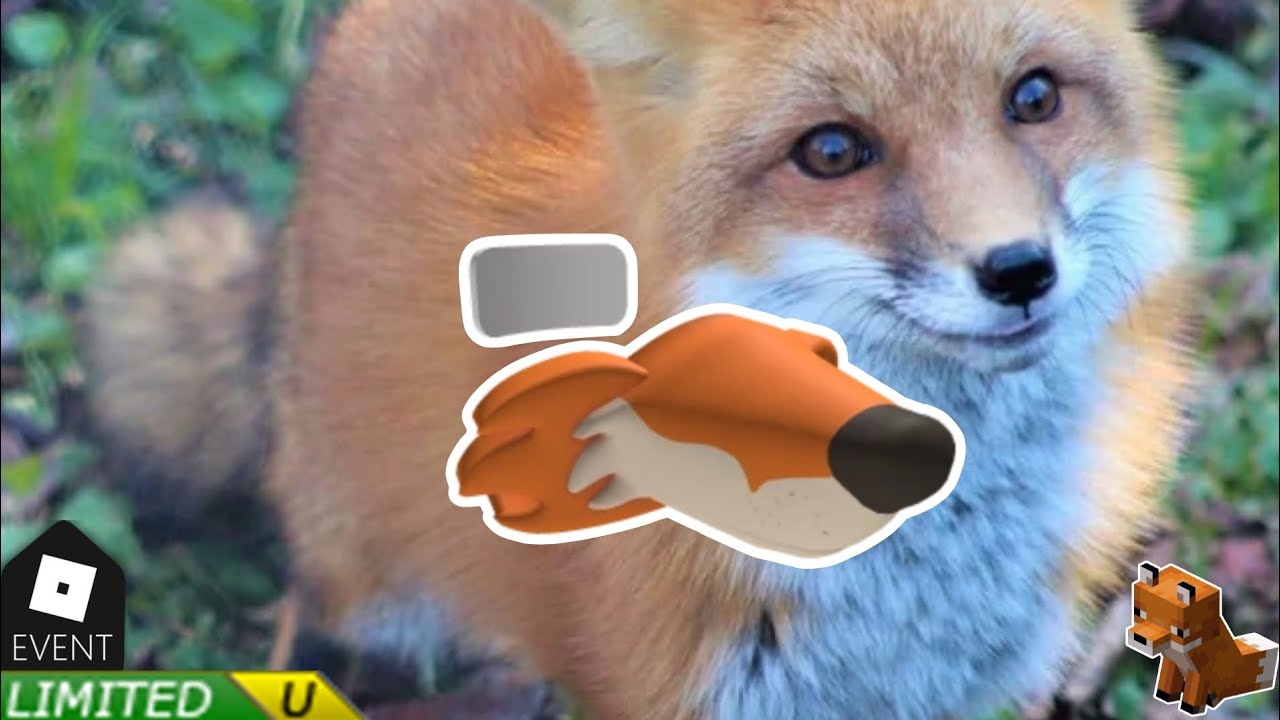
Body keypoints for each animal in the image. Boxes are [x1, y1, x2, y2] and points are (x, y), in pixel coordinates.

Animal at [1127, 562, 1279, 715]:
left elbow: (1193, 695)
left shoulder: (1200, 674)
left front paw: (1189, 708)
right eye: (1138, 612)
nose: (1139, 638)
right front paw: (1165, 695)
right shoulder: (1172, 662)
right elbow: (1167, 684)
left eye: (1177, 631)